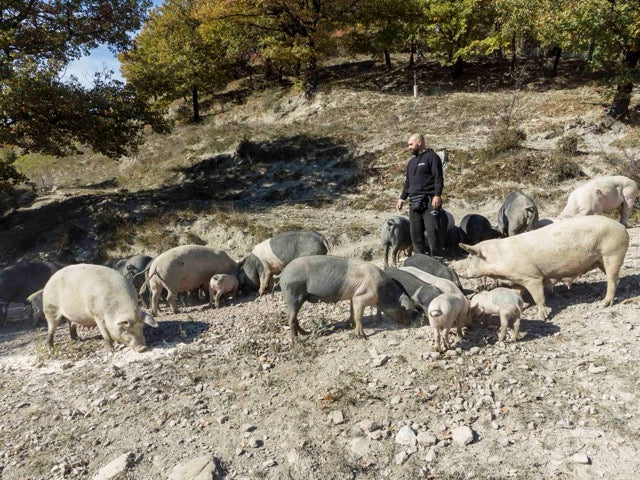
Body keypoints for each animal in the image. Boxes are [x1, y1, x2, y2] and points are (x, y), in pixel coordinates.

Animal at [279, 255, 417, 340]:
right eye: (403, 309)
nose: (409, 322)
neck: (382, 292)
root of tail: (283, 274)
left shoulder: (353, 296)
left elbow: (352, 312)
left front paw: (351, 324)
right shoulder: (361, 297)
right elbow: (358, 315)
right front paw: (362, 336)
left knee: (293, 317)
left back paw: (305, 333)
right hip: (294, 295)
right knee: (291, 319)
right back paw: (296, 339)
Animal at [456, 215, 629, 320]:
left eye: (470, 257)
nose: (461, 273)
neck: (500, 258)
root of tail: (622, 228)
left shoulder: (532, 277)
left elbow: (539, 296)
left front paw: (541, 317)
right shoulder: (518, 279)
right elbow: (517, 293)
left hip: (612, 253)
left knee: (612, 280)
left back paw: (603, 304)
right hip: (601, 260)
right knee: (616, 278)